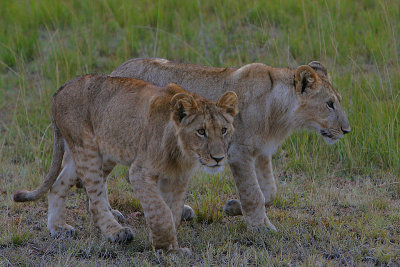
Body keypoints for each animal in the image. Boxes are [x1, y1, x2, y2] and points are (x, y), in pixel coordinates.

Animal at [13, 75, 238, 253]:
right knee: (94, 200)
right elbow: (161, 210)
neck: (182, 153)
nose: (218, 158)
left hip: (90, 153)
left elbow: (172, 210)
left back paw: (58, 228)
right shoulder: (139, 172)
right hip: (87, 150)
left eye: (224, 130)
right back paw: (117, 232)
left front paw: (166, 244)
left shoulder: (178, 178)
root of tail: (61, 89)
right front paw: (167, 249)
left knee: (57, 186)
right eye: (201, 131)